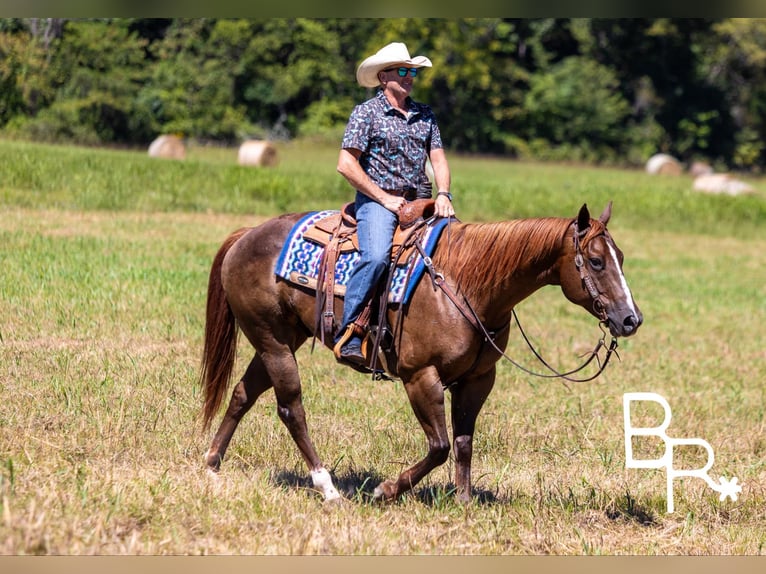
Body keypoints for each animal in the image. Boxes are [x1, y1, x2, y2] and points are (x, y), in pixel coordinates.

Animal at [199, 202, 643, 503]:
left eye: (621, 257)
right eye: (597, 261)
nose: (630, 320)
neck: (466, 284)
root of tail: (247, 235)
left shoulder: (478, 380)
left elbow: (463, 442)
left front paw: (463, 501)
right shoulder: (420, 376)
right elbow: (440, 445)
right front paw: (386, 490)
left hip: (280, 339)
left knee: (242, 393)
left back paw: (212, 462)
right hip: (272, 340)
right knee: (291, 408)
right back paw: (327, 488)